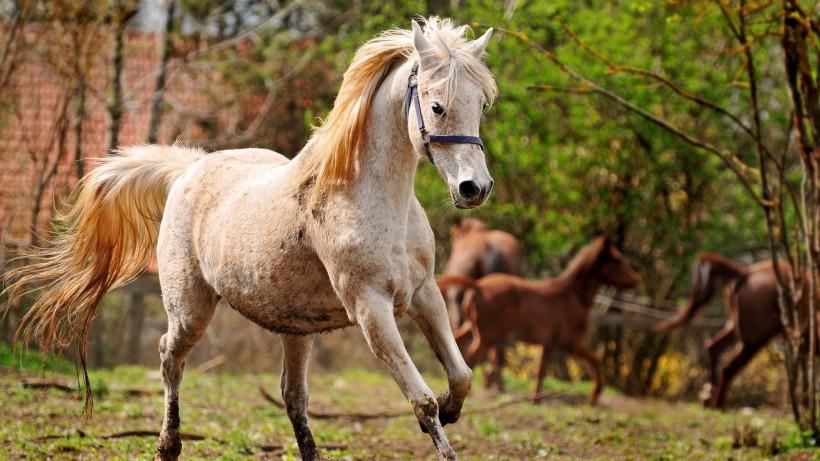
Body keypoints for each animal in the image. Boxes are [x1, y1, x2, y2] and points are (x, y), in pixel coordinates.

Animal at [2, 18, 498, 461]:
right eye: (437, 106)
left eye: (480, 104)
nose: (474, 188)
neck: (369, 198)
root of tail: (189, 169)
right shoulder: (371, 308)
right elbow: (422, 401)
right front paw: (441, 423)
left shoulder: (423, 294)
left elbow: (461, 375)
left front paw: (453, 411)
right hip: (190, 311)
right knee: (169, 358)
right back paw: (168, 446)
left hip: (295, 330)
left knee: (293, 396)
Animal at [438, 236, 639, 405]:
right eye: (617, 260)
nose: (635, 280)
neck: (572, 295)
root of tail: (478, 286)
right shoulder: (571, 342)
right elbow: (595, 360)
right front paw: (594, 396)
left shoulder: (549, 344)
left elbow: (541, 371)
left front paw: (535, 399)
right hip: (488, 337)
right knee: (470, 357)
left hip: (473, 328)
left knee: (456, 344)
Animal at [654, 253, 802, 408]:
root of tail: (746, 273)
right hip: (754, 338)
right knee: (729, 368)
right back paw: (718, 404)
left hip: (737, 327)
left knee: (713, 347)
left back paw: (708, 397)